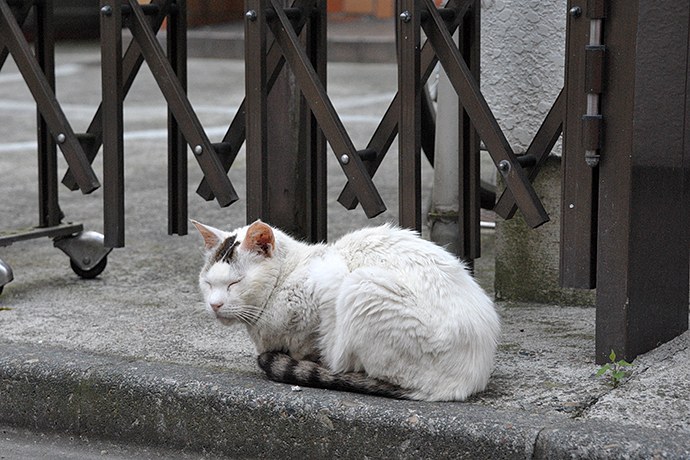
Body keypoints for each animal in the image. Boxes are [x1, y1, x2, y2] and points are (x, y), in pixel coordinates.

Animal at [191, 220, 498, 402]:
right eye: (208, 283)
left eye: (235, 283)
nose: (215, 304)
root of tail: (467, 381)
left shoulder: (322, 290)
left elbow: (307, 344)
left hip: (362, 286)